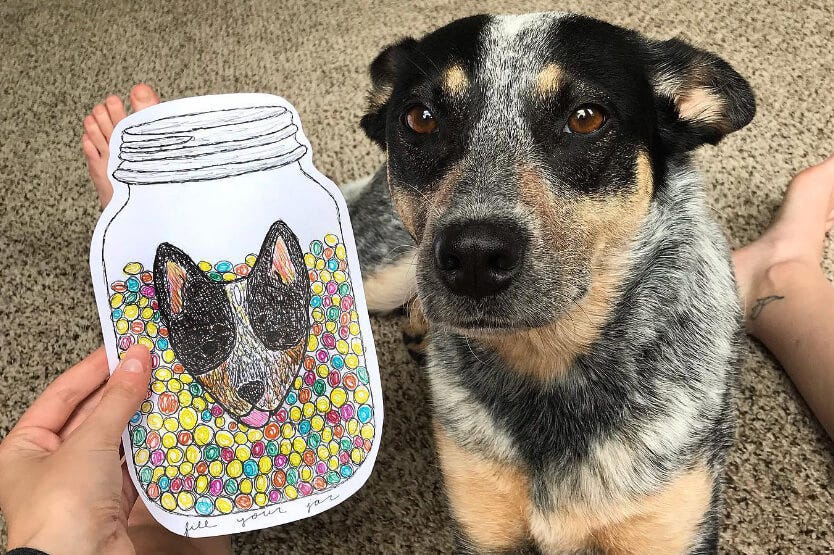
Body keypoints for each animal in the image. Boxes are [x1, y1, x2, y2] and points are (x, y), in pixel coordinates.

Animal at [342, 13, 752, 555]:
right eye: (420, 118)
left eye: (587, 118)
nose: (474, 255)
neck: (547, 362)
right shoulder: (483, 523)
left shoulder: (667, 525)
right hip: (380, 272)